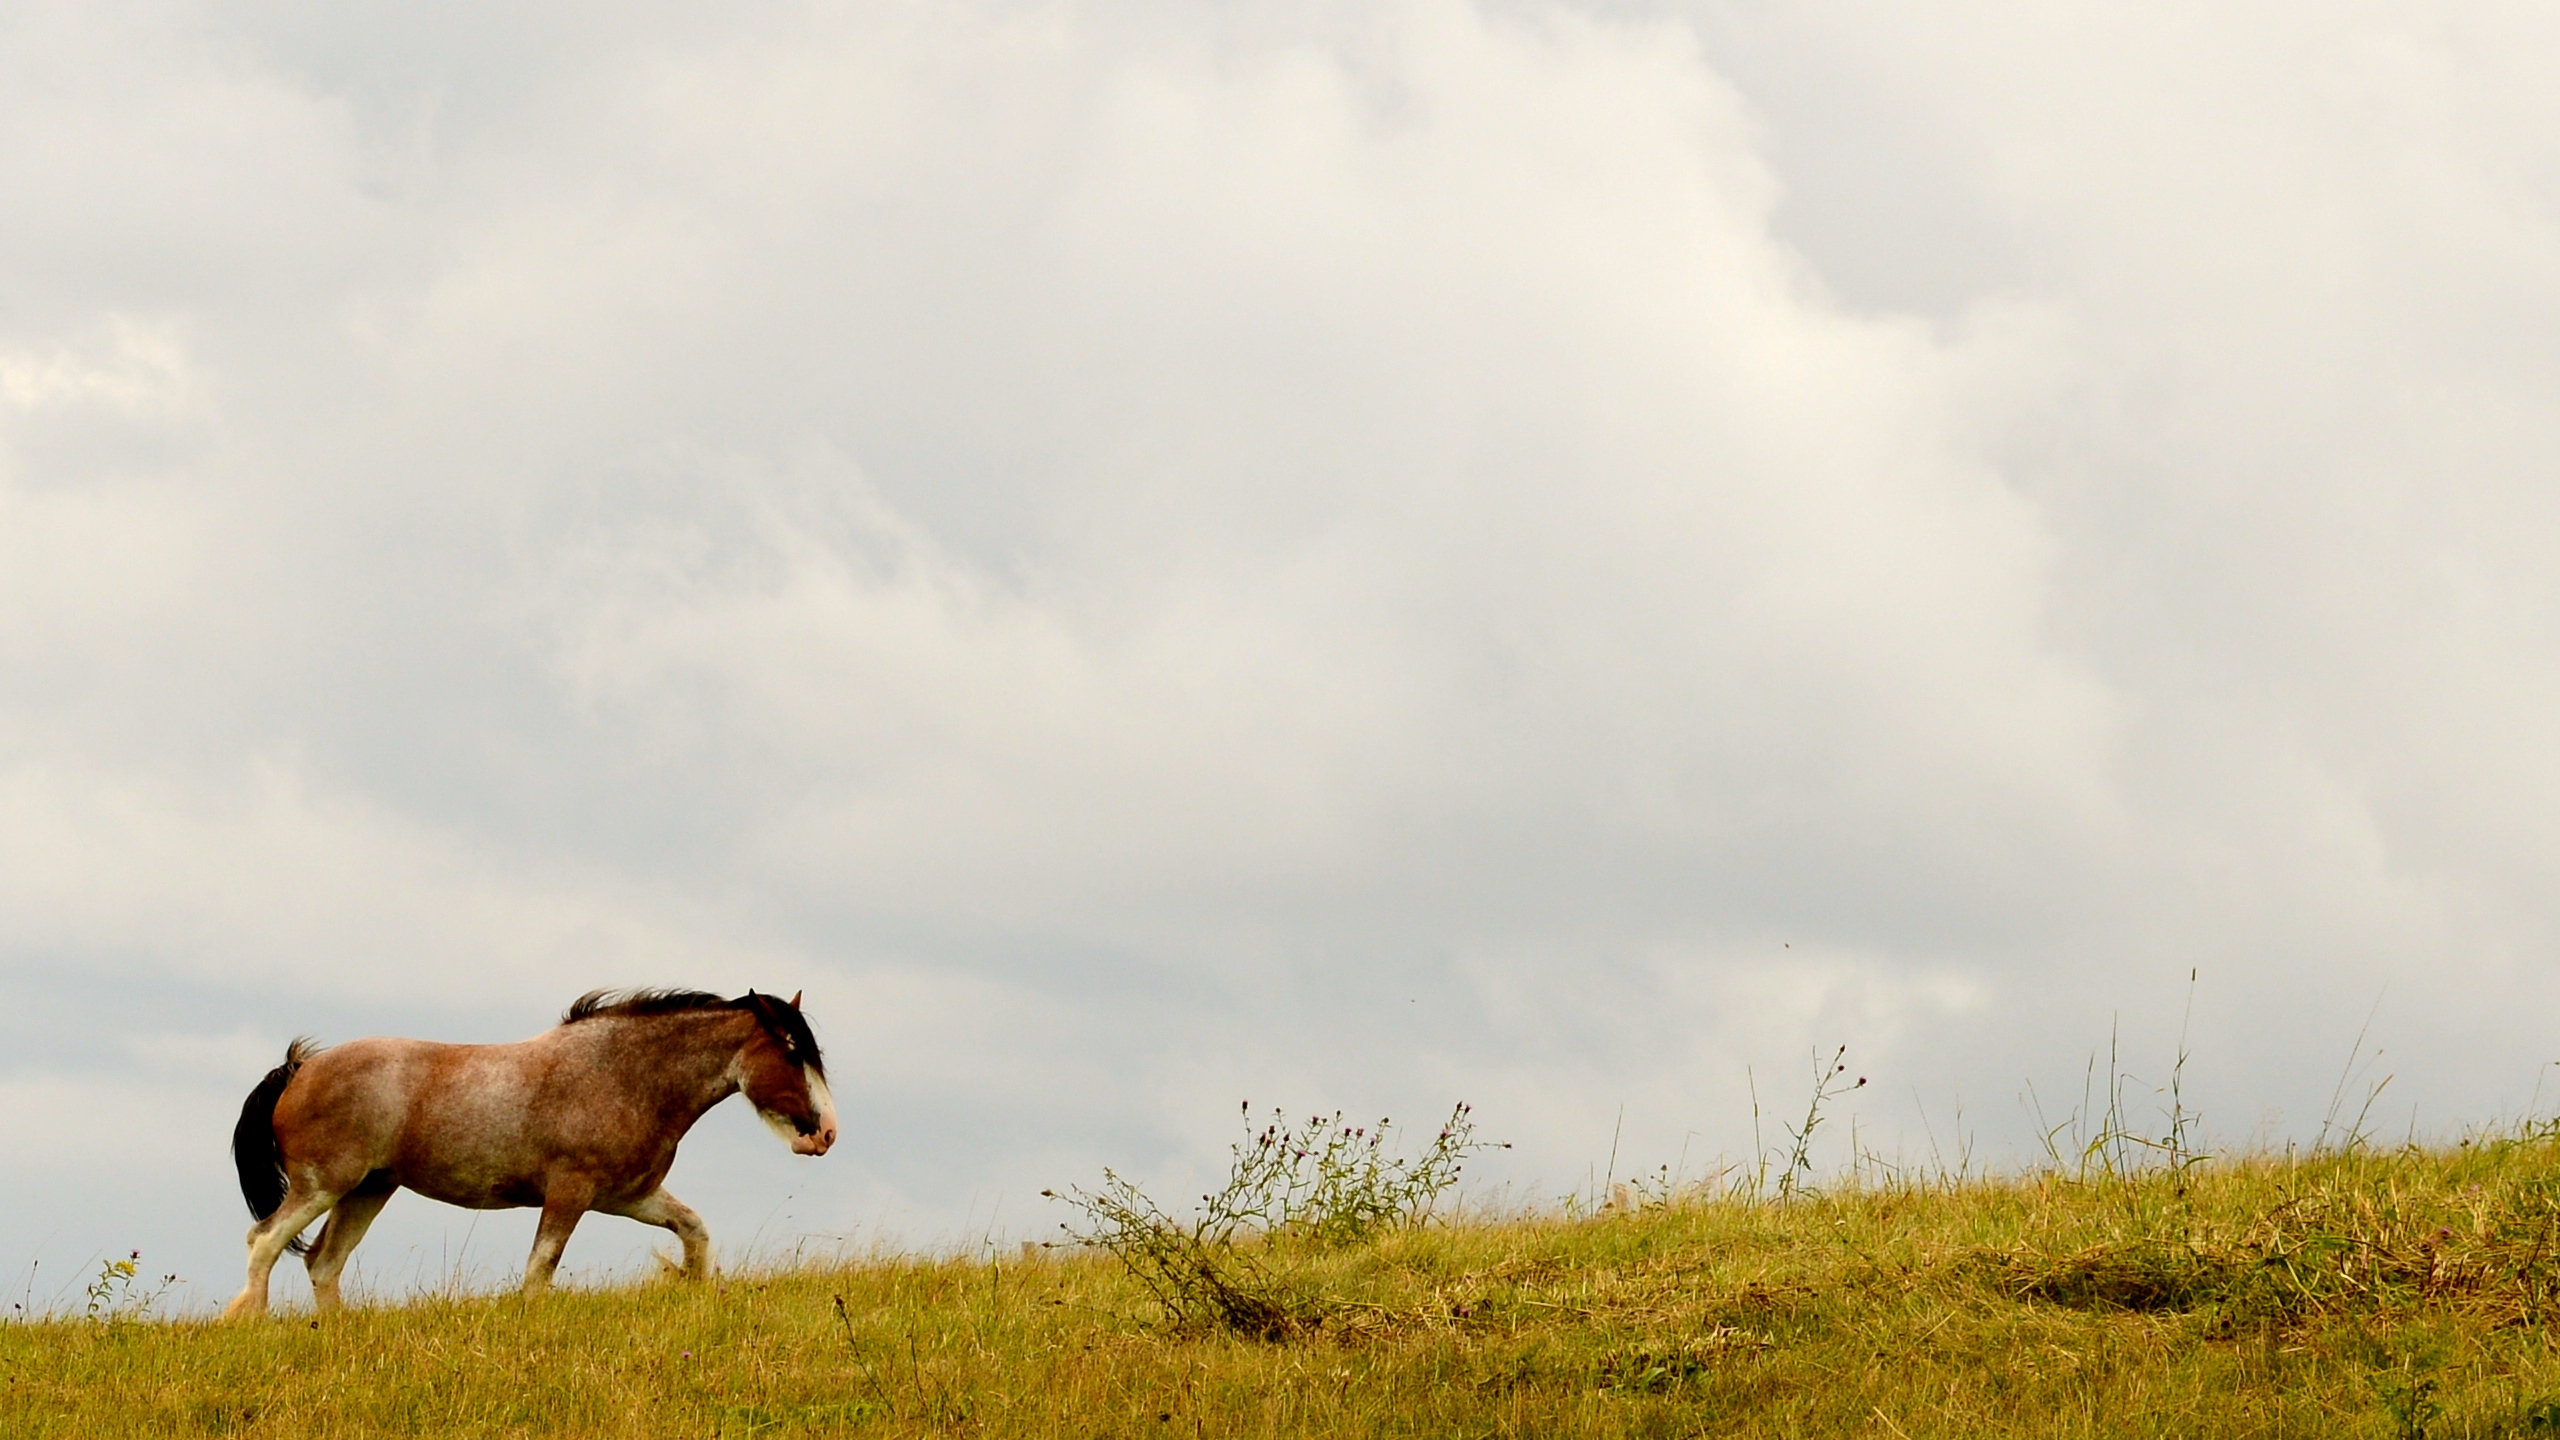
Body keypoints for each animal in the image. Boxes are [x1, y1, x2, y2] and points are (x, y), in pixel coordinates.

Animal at [221, 983, 834, 1311]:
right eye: (789, 1049)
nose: (825, 1132)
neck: (622, 1074)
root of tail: (300, 1069)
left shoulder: (631, 1198)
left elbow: (695, 1233)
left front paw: (693, 1289)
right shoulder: (570, 1193)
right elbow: (540, 1271)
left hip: (369, 1189)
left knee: (324, 1262)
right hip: (324, 1185)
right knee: (265, 1241)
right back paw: (249, 1318)